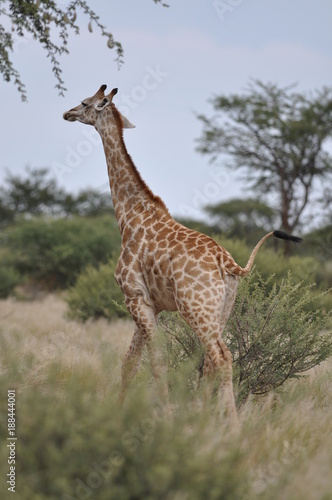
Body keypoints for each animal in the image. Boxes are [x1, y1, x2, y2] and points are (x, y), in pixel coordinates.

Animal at [63, 85, 302, 426]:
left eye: (85, 103)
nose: (67, 113)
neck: (129, 216)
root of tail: (229, 264)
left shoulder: (133, 296)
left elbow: (155, 362)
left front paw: (165, 418)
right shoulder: (151, 303)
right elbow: (130, 363)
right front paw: (119, 414)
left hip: (196, 307)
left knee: (221, 357)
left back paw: (232, 427)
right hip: (222, 309)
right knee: (212, 361)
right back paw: (202, 418)